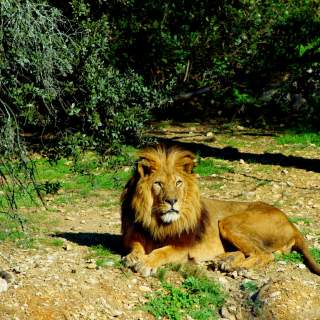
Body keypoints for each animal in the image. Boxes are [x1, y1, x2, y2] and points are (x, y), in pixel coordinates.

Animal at [120, 144, 320, 276]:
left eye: (178, 182)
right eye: (159, 184)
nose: (172, 201)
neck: (156, 220)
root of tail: (291, 223)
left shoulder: (183, 248)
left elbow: (162, 252)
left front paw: (146, 263)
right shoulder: (134, 234)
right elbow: (136, 245)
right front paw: (132, 257)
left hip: (228, 222)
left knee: (264, 255)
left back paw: (237, 267)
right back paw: (224, 261)